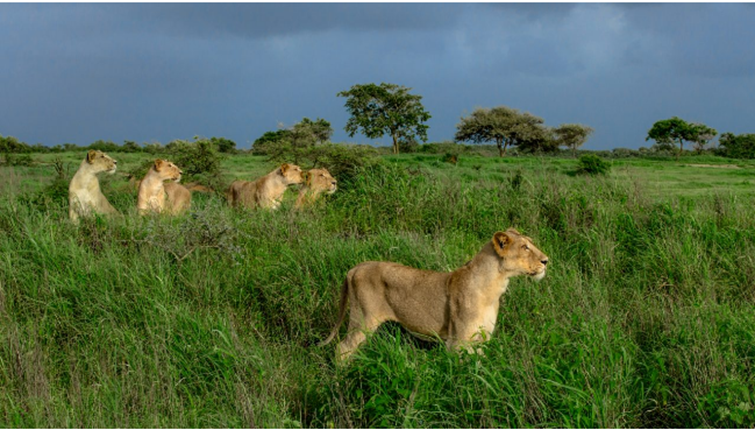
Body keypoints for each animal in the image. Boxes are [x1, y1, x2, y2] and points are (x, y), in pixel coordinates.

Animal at [319, 228, 549, 361]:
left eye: (530, 243)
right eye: (525, 247)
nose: (546, 260)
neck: (495, 286)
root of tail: (356, 267)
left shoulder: (481, 339)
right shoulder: (458, 342)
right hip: (363, 318)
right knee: (342, 349)